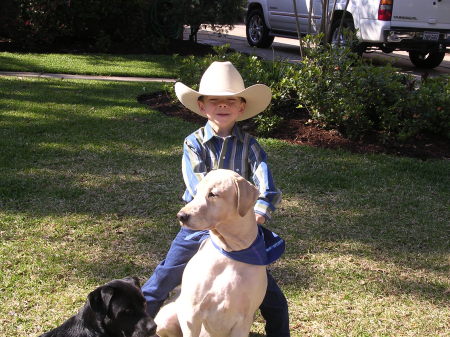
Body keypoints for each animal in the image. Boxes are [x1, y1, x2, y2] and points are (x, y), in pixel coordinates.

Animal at [155, 168, 268, 336]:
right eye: (196, 192)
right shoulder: (191, 315)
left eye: (213, 194)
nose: (181, 215)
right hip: (166, 318)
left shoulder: (244, 320)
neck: (230, 253)